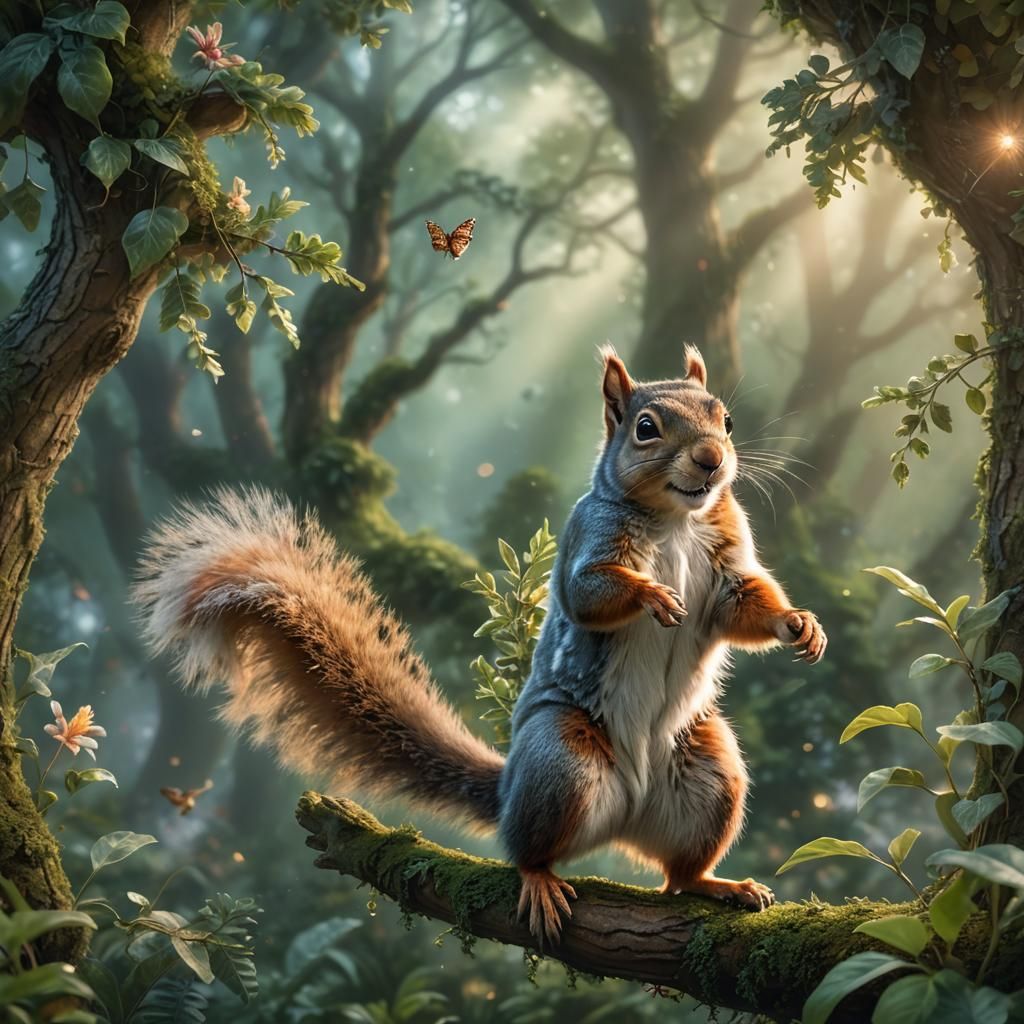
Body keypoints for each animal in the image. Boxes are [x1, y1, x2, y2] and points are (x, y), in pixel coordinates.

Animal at [133, 343, 826, 947]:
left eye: (726, 419)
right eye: (646, 428)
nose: (711, 459)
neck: (679, 519)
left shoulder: (726, 563)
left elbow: (742, 604)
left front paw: (800, 625)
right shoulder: (588, 544)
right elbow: (591, 594)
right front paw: (653, 596)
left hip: (708, 772)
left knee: (678, 876)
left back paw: (716, 884)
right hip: (561, 759)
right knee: (529, 849)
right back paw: (541, 880)